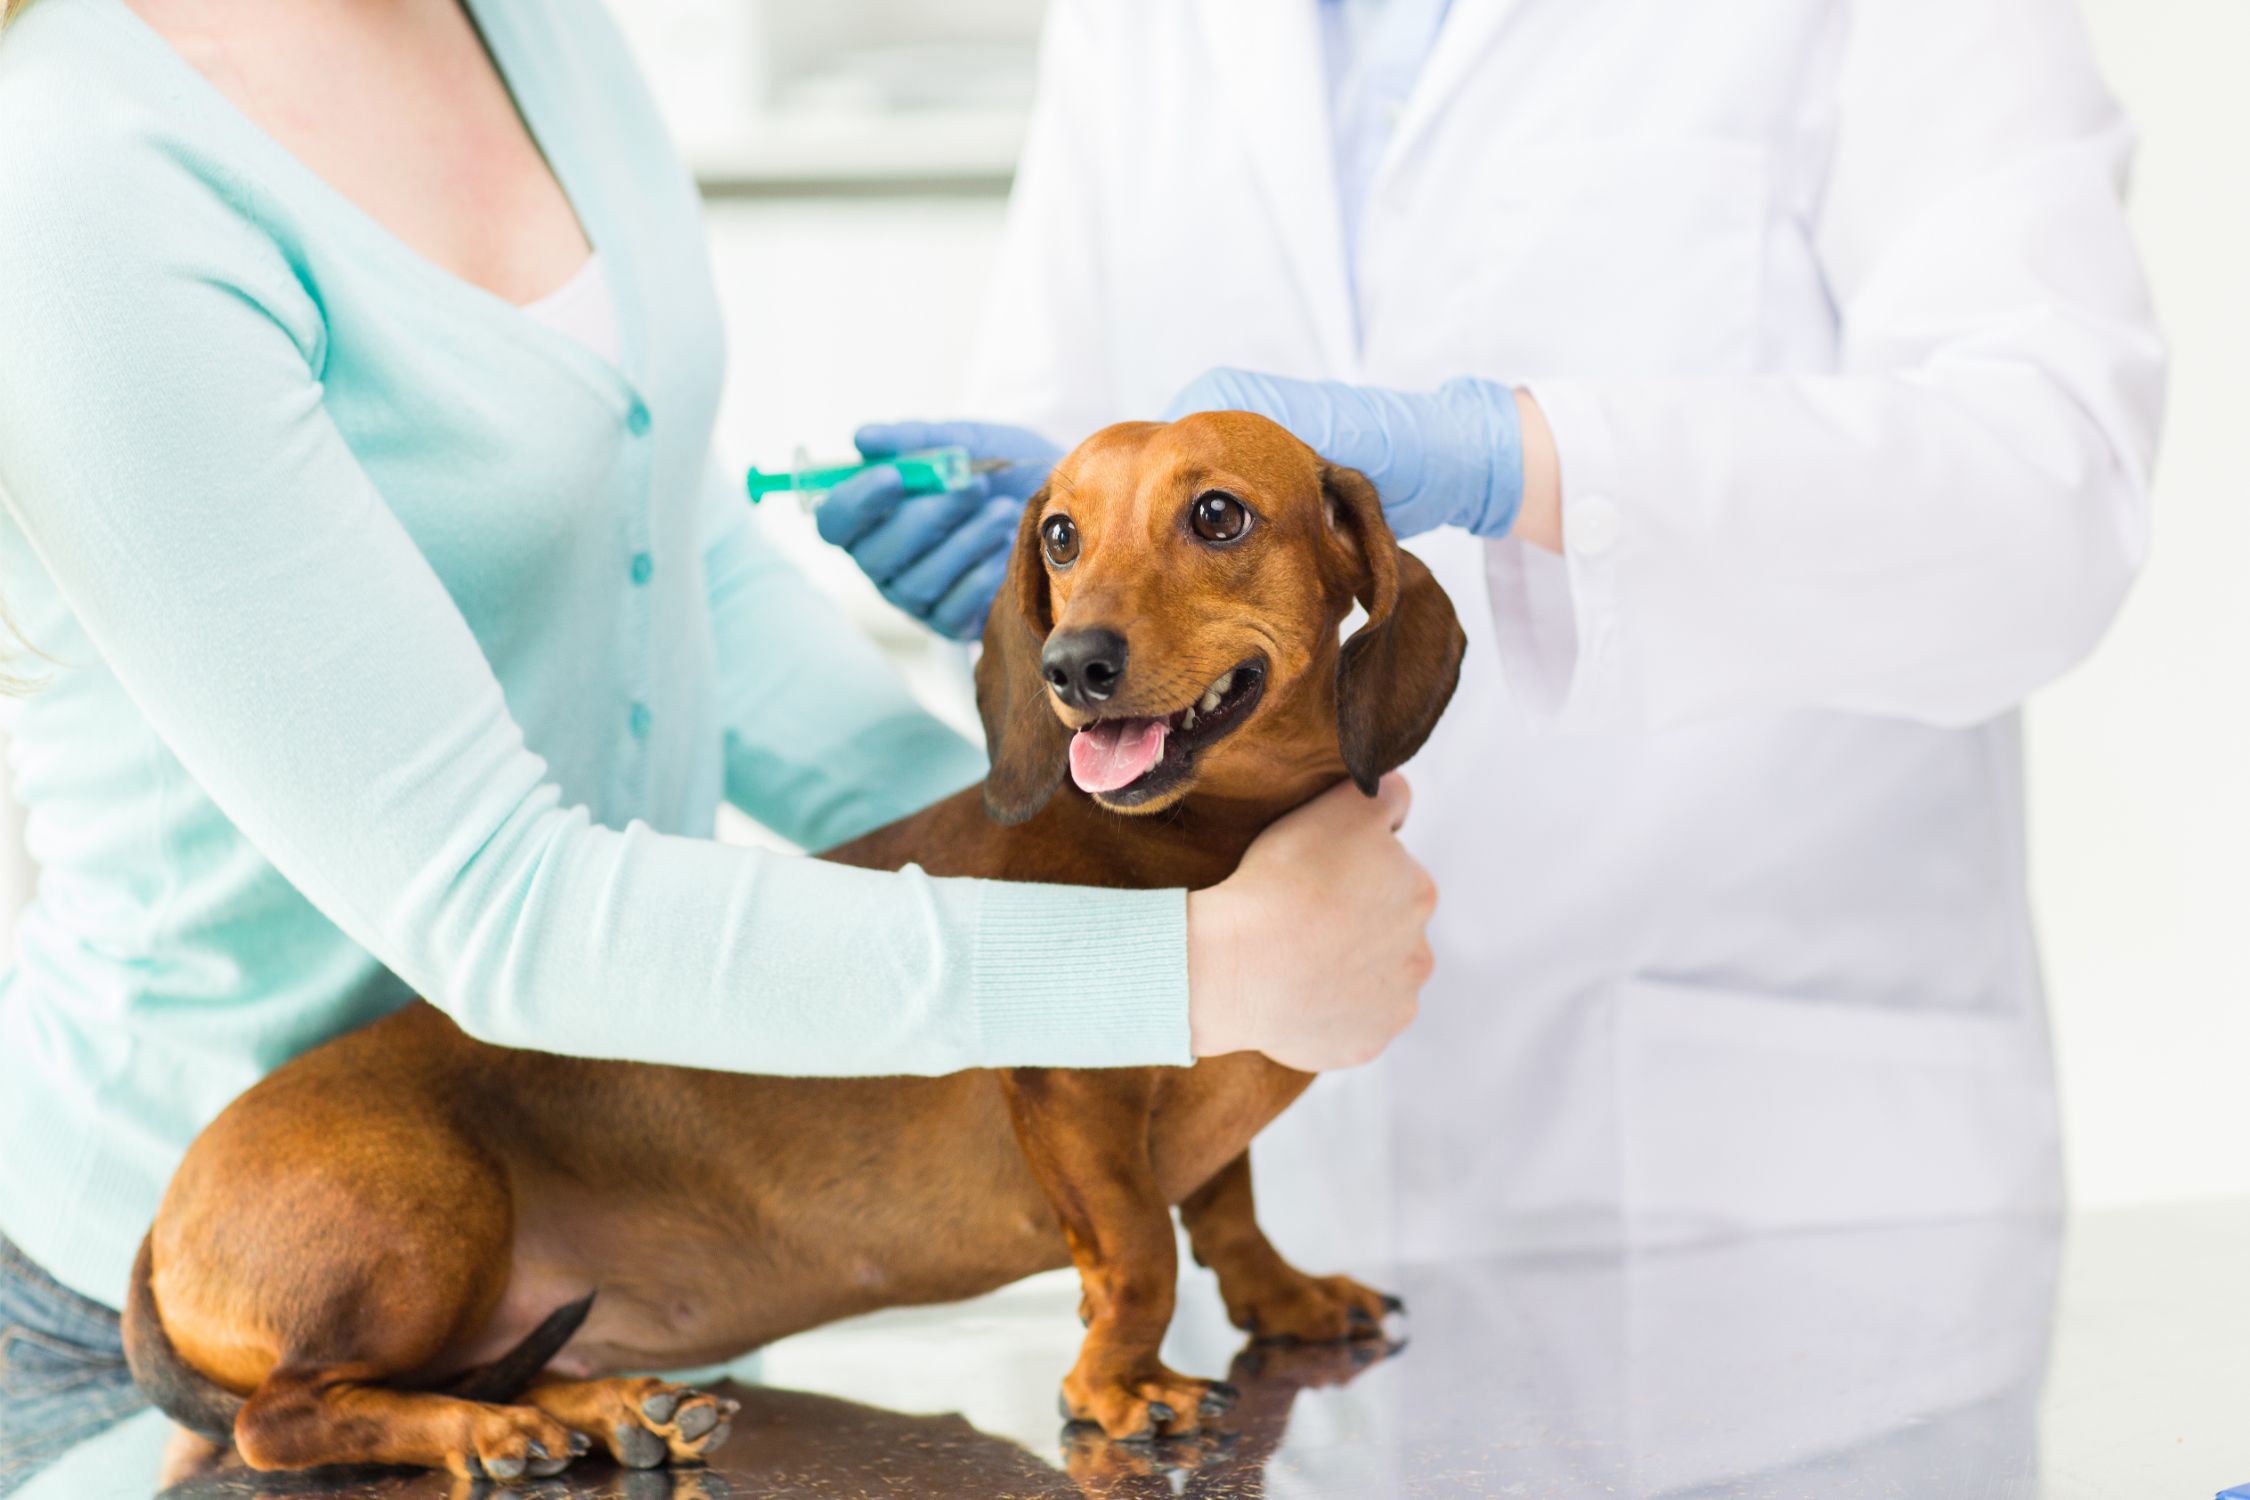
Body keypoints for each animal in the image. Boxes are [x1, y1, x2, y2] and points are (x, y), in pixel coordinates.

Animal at [123, 411, 1467, 1475]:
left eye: (1219, 514)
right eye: (1060, 537)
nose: (1072, 665)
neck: (1197, 832)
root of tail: (163, 1218)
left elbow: (1225, 1205)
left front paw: (1284, 1295)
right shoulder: (1076, 1096)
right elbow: (1140, 1251)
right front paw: (1120, 1386)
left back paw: (616, 1411)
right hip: (425, 1222)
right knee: (285, 1416)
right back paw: (492, 1434)